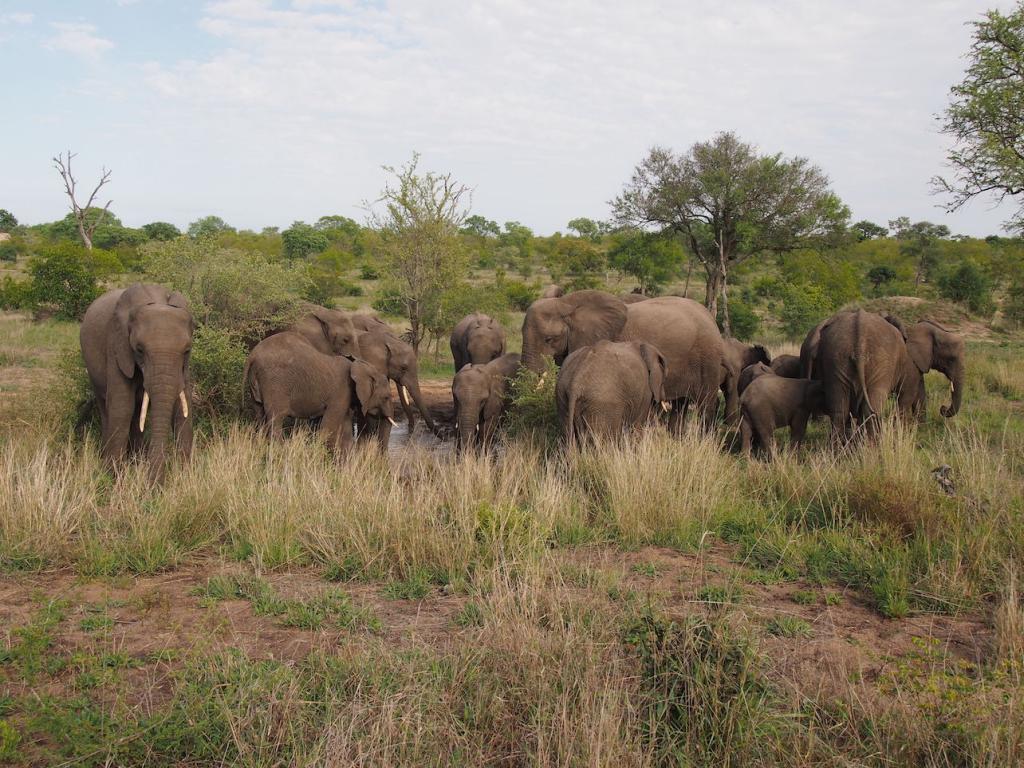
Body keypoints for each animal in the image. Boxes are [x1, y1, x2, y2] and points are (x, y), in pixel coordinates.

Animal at [79, 286, 195, 483]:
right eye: (139, 350)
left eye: (187, 350)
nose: (154, 485)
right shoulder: (117, 345)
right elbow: (122, 406)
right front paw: (112, 478)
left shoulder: (183, 367)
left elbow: (182, 408)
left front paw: (184, 477)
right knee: (108, 408)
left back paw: (136, 460)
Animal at [243, 331, 395, 456]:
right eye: (386, 397)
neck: (360, 366)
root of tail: (252, 356)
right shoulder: (341, 391)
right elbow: (328, 427)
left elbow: (345, 430)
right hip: (276, 383)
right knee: (276, 418)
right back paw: (280, 452)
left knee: (260, 415)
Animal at [520, 290, 729, 434]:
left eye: (549, 339)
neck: (566, 303)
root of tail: (710, 317)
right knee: (681, 405)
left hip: (707, 360)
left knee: (706, 404)